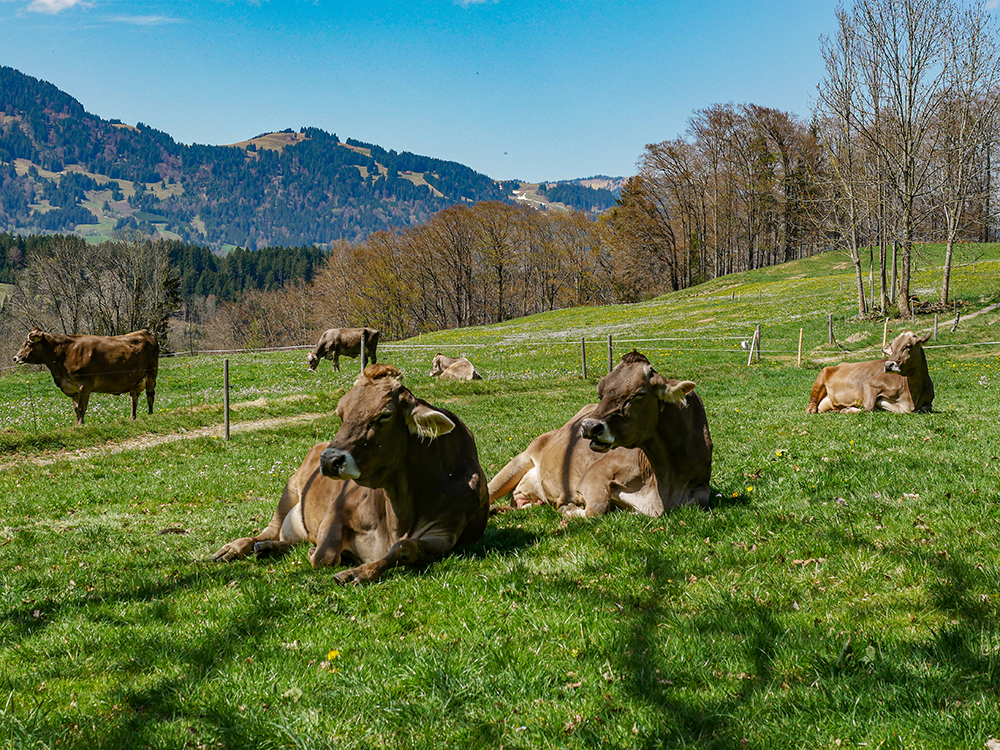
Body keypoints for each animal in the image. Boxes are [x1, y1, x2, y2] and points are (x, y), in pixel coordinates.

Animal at [12, 328, 160, 426]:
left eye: (28, 343)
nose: (15, 358)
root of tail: (145, 332)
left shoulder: (85, 384)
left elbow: (82, 408)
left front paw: (81, 425)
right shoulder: (72, 387)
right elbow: (76, 409)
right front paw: (76, 424)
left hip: (151, 373)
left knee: (150, 395)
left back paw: (151, 415)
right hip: (136, 379)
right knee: (134, 399)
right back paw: (132, 418)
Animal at [213, 364, 490, 588]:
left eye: (385, 414)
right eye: (341, 413)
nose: (329, 460)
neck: (399, 509)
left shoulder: (446, 532)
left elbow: (404, 548)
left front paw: (358, 572)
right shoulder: (337, 510)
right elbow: (324, 556)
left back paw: (270, 548)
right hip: (289, 493)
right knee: (267, 531)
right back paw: (236, 548)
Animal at [486, 352, 712, 516]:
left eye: (639, 393)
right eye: (600, 393)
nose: (588, 426)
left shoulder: (702, 489)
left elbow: (700, 500)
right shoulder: (593, 475)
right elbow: (596, 509)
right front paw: (569, 508)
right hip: (518, 461)